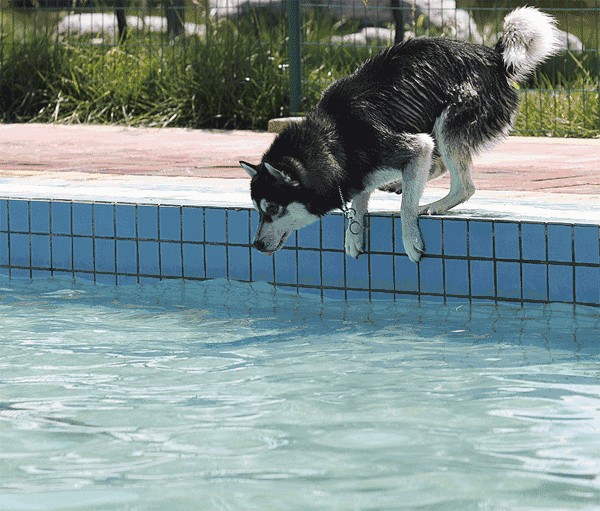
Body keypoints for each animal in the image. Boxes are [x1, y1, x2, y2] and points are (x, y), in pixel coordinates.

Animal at [239, 7, 556, 262]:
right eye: (257, 210)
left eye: (272, 209)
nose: (255, 245)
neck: (334, 139)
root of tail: (494, 56)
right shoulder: (359, 169)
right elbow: (361, 197)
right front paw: (354, 234)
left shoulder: (413, 145)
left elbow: (406, 208)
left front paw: (410, 239)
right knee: (438, 168)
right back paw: (400, 183)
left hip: (446, 124)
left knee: (463, 185)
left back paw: (432, 205)